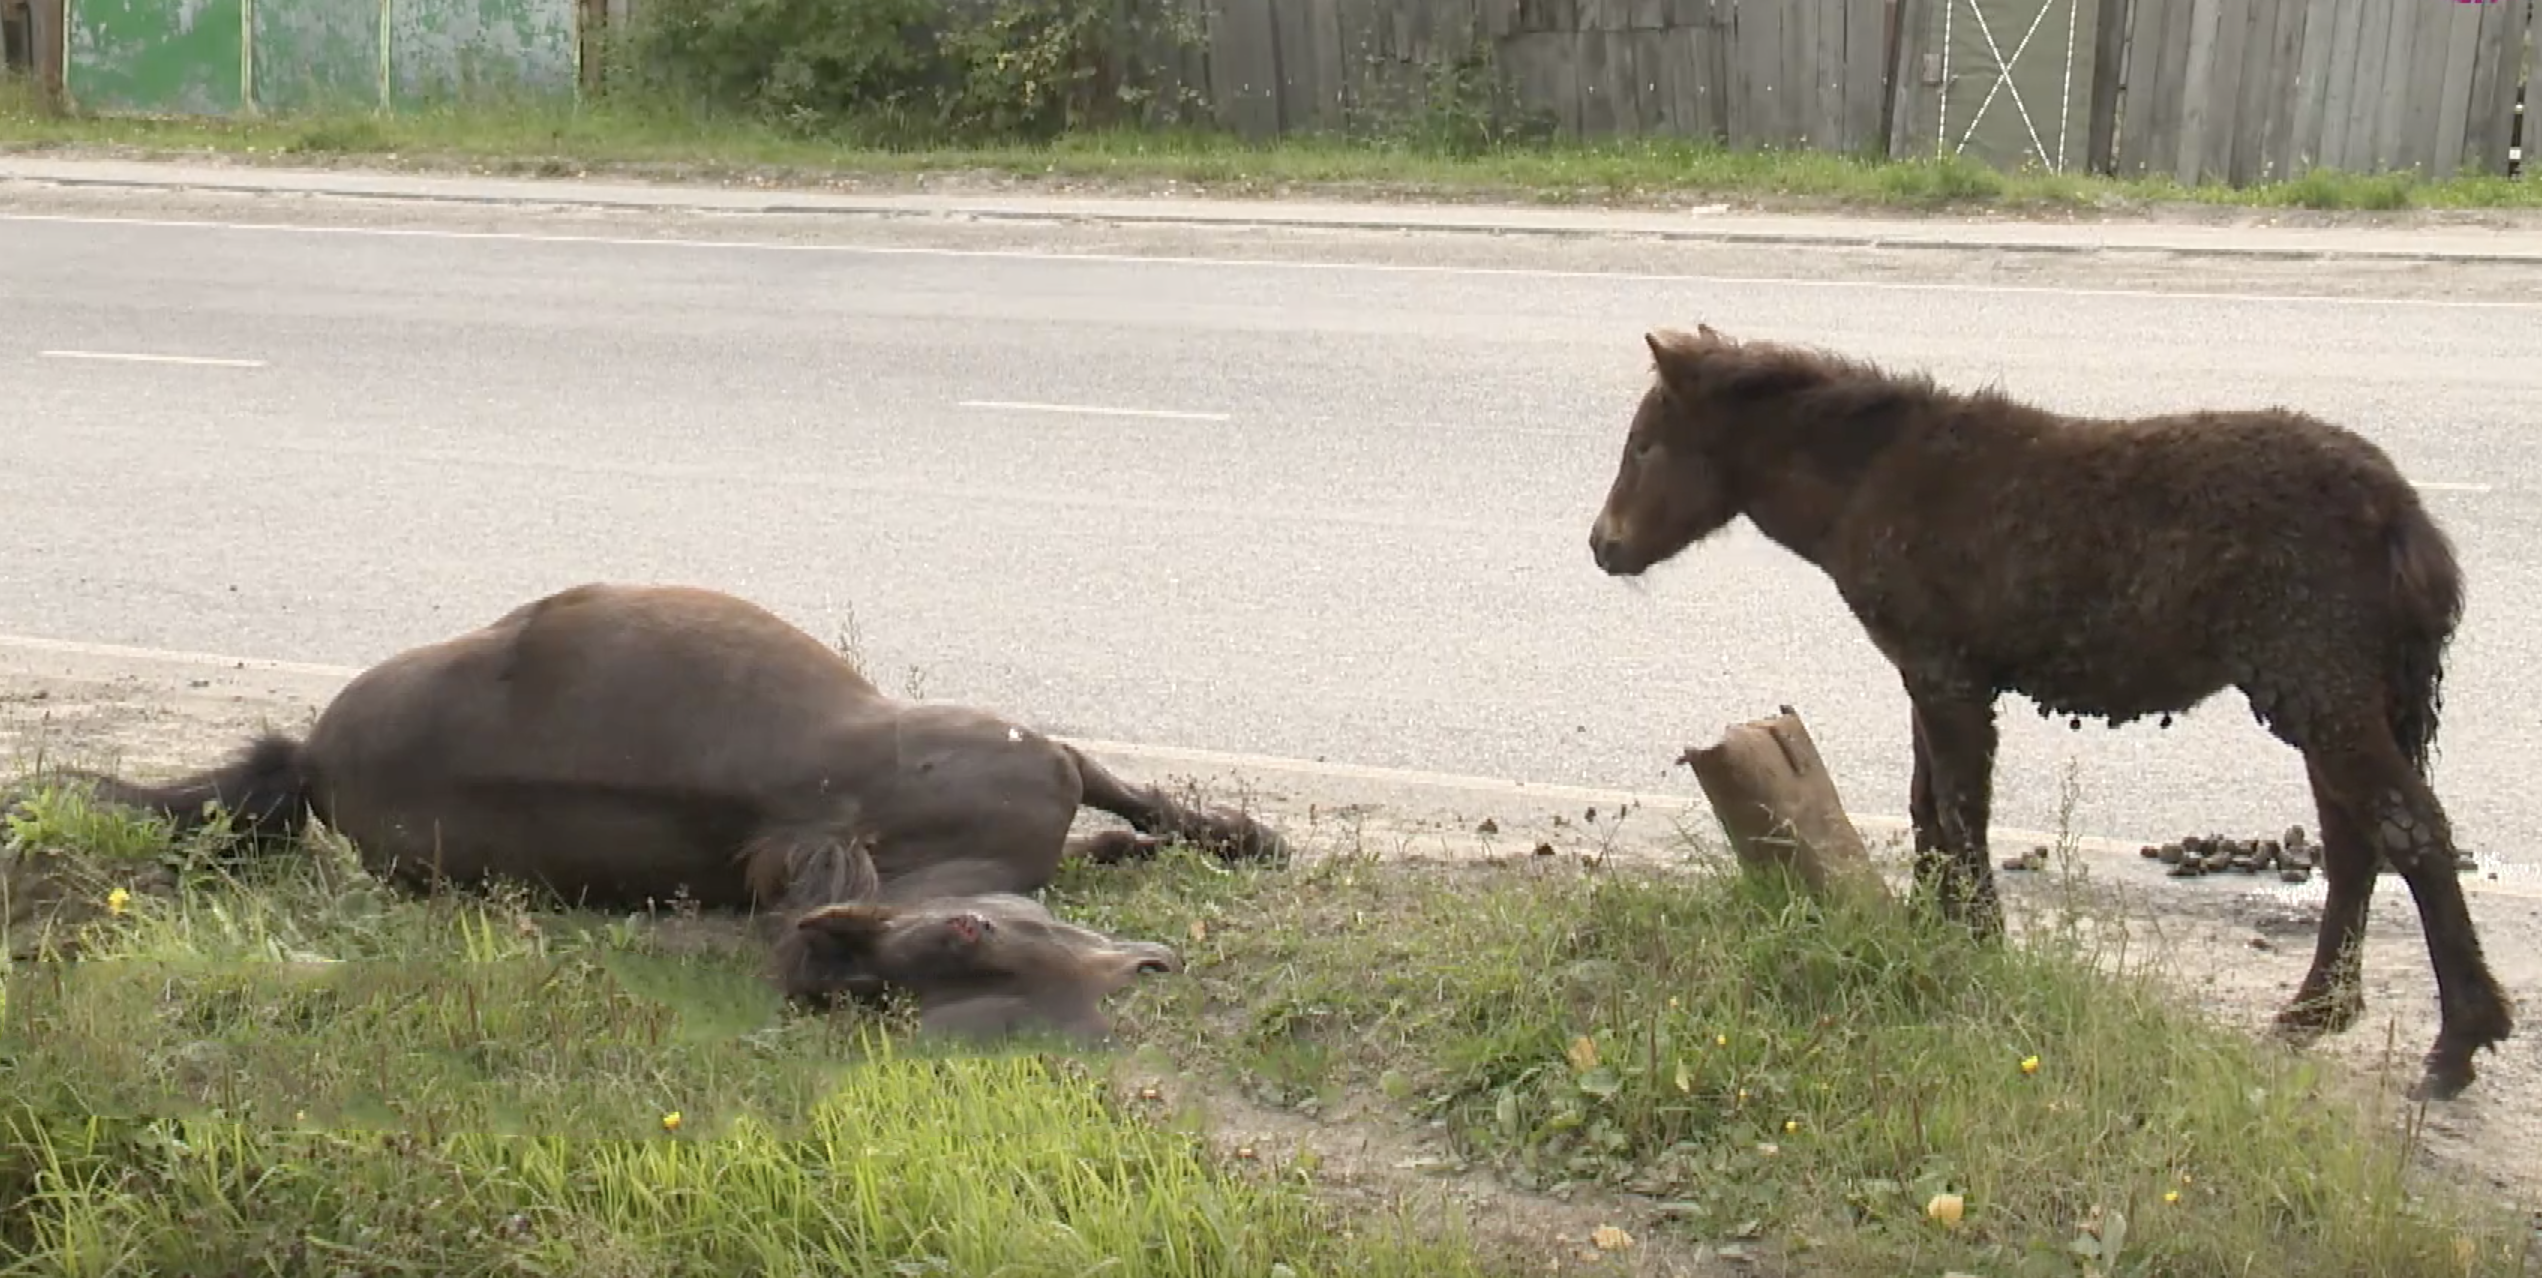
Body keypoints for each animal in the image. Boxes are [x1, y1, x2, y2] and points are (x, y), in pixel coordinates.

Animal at [26, 581, 1287, 1044]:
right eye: (967, 941)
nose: (1143, 973)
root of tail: (314, 757)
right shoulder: (1049, 758)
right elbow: (1139, 802)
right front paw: (1233, 838)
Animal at [1586, 324, 2512, 1101]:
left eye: (1644, 445)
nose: (1602, 545)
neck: (1871, 481)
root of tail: (2403, 512)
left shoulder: (1948, 676)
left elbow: (1962, 813)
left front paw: (1979, 946)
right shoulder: (1928, 675)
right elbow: (1930, 810)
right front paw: (1933, 932)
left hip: (2321, 692)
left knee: (2414, 834)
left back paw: (2457, 1044)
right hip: (2329, 701)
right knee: (2358, 845)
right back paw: (2316, 1012)